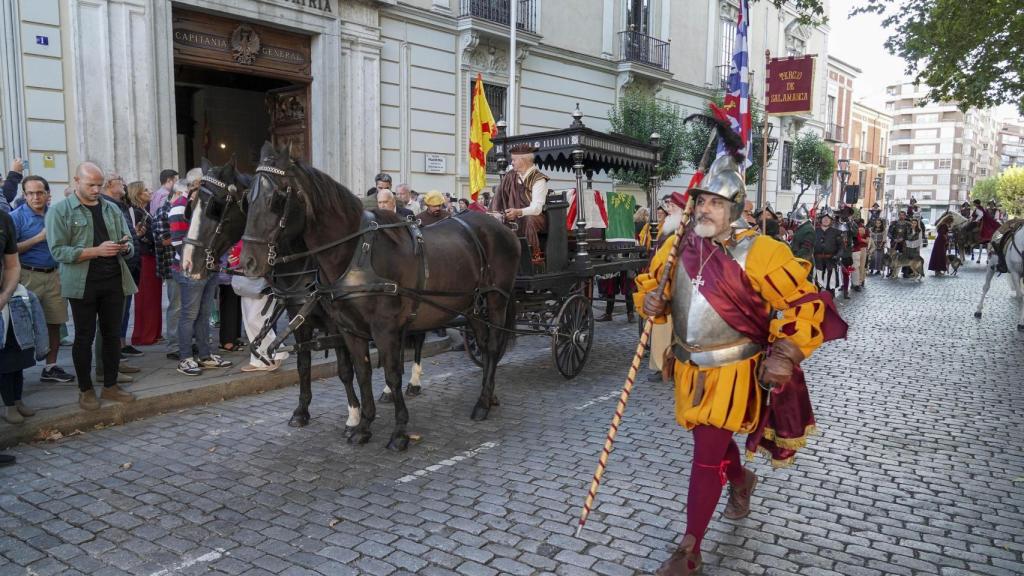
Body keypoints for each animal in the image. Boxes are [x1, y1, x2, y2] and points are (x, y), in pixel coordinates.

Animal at [180, 155, 364, 426]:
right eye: (191, 206)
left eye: (216, 207)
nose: (187, 263)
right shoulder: (300, 320)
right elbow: (303, 365)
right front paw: (301, 411)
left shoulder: (336, 324)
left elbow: (345, 369)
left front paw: (354, 413)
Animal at [239, 142, 520, 448]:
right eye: (246, 200)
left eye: (276, 199)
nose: (248, 262)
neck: (353, 253)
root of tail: (500, 225)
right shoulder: (349, 329)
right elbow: (360, 372)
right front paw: (363, 425)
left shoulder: (383, 328)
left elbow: (391, 373)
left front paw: (399, 432)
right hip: (473, 306)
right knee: (483, 343)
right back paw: (489, 395)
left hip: (496, 299)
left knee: (492, 347)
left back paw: (481, 402)